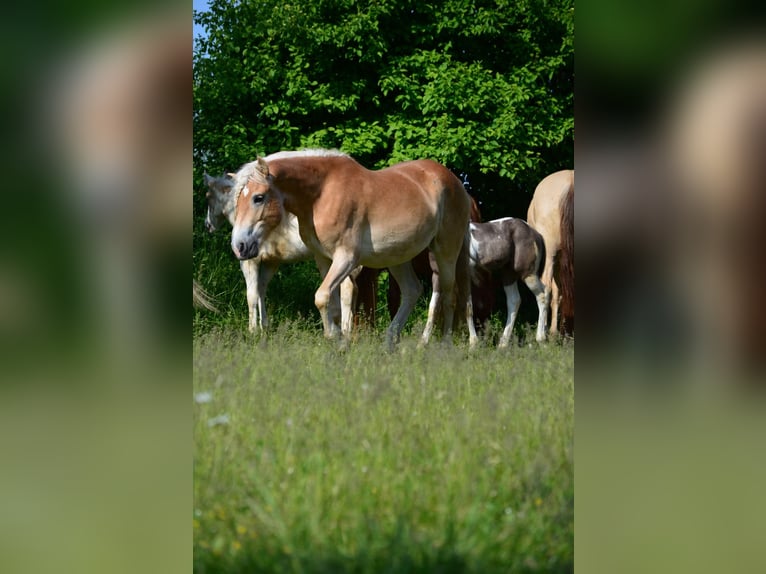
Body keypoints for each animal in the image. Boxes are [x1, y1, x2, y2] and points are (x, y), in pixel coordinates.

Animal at [202, 172, 374, 332]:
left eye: (208, 197)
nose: (207, 225)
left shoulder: (250, 261)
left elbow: (251, 295)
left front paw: (253, 330)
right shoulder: (271, 262)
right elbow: (261, 290)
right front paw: (264, 327)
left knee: (347, 289)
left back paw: (344, 330)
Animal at [231, 151, 476, 348]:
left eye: (258, 197)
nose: (239, 246)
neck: (322, 194)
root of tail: (455, 182)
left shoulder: (346, 258)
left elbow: (322, 297)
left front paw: (338, 339)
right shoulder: (324, 260)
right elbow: (333, 305)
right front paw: (337, 341)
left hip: (446, 252)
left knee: (449, 295)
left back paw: (443, 346)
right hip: (398, 258)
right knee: (412, 291)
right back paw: (389, 343)